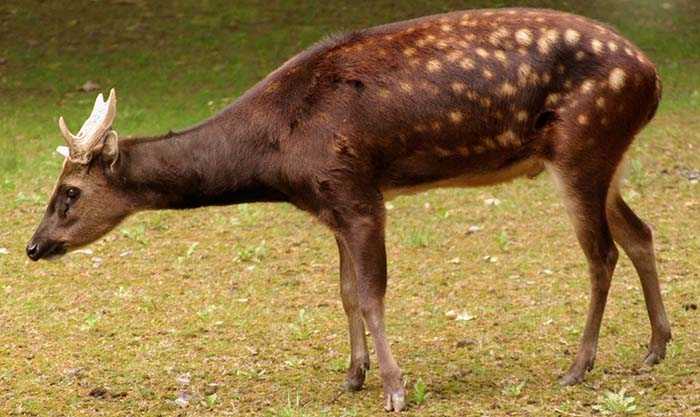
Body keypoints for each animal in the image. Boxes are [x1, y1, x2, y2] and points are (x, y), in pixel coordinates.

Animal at [27, 8, 670, 412]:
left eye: (70, 192)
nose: (34, 246)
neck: (277, 154)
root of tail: (653, 76)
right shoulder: (329, 204)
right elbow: (344, 293)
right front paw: (353, 376)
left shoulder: (357, 191)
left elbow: (372, 292)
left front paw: (394, 389)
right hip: (607, 158)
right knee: (640, 232)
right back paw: (655, 347)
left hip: (583, 145)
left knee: (601, 253)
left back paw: (579, 365)